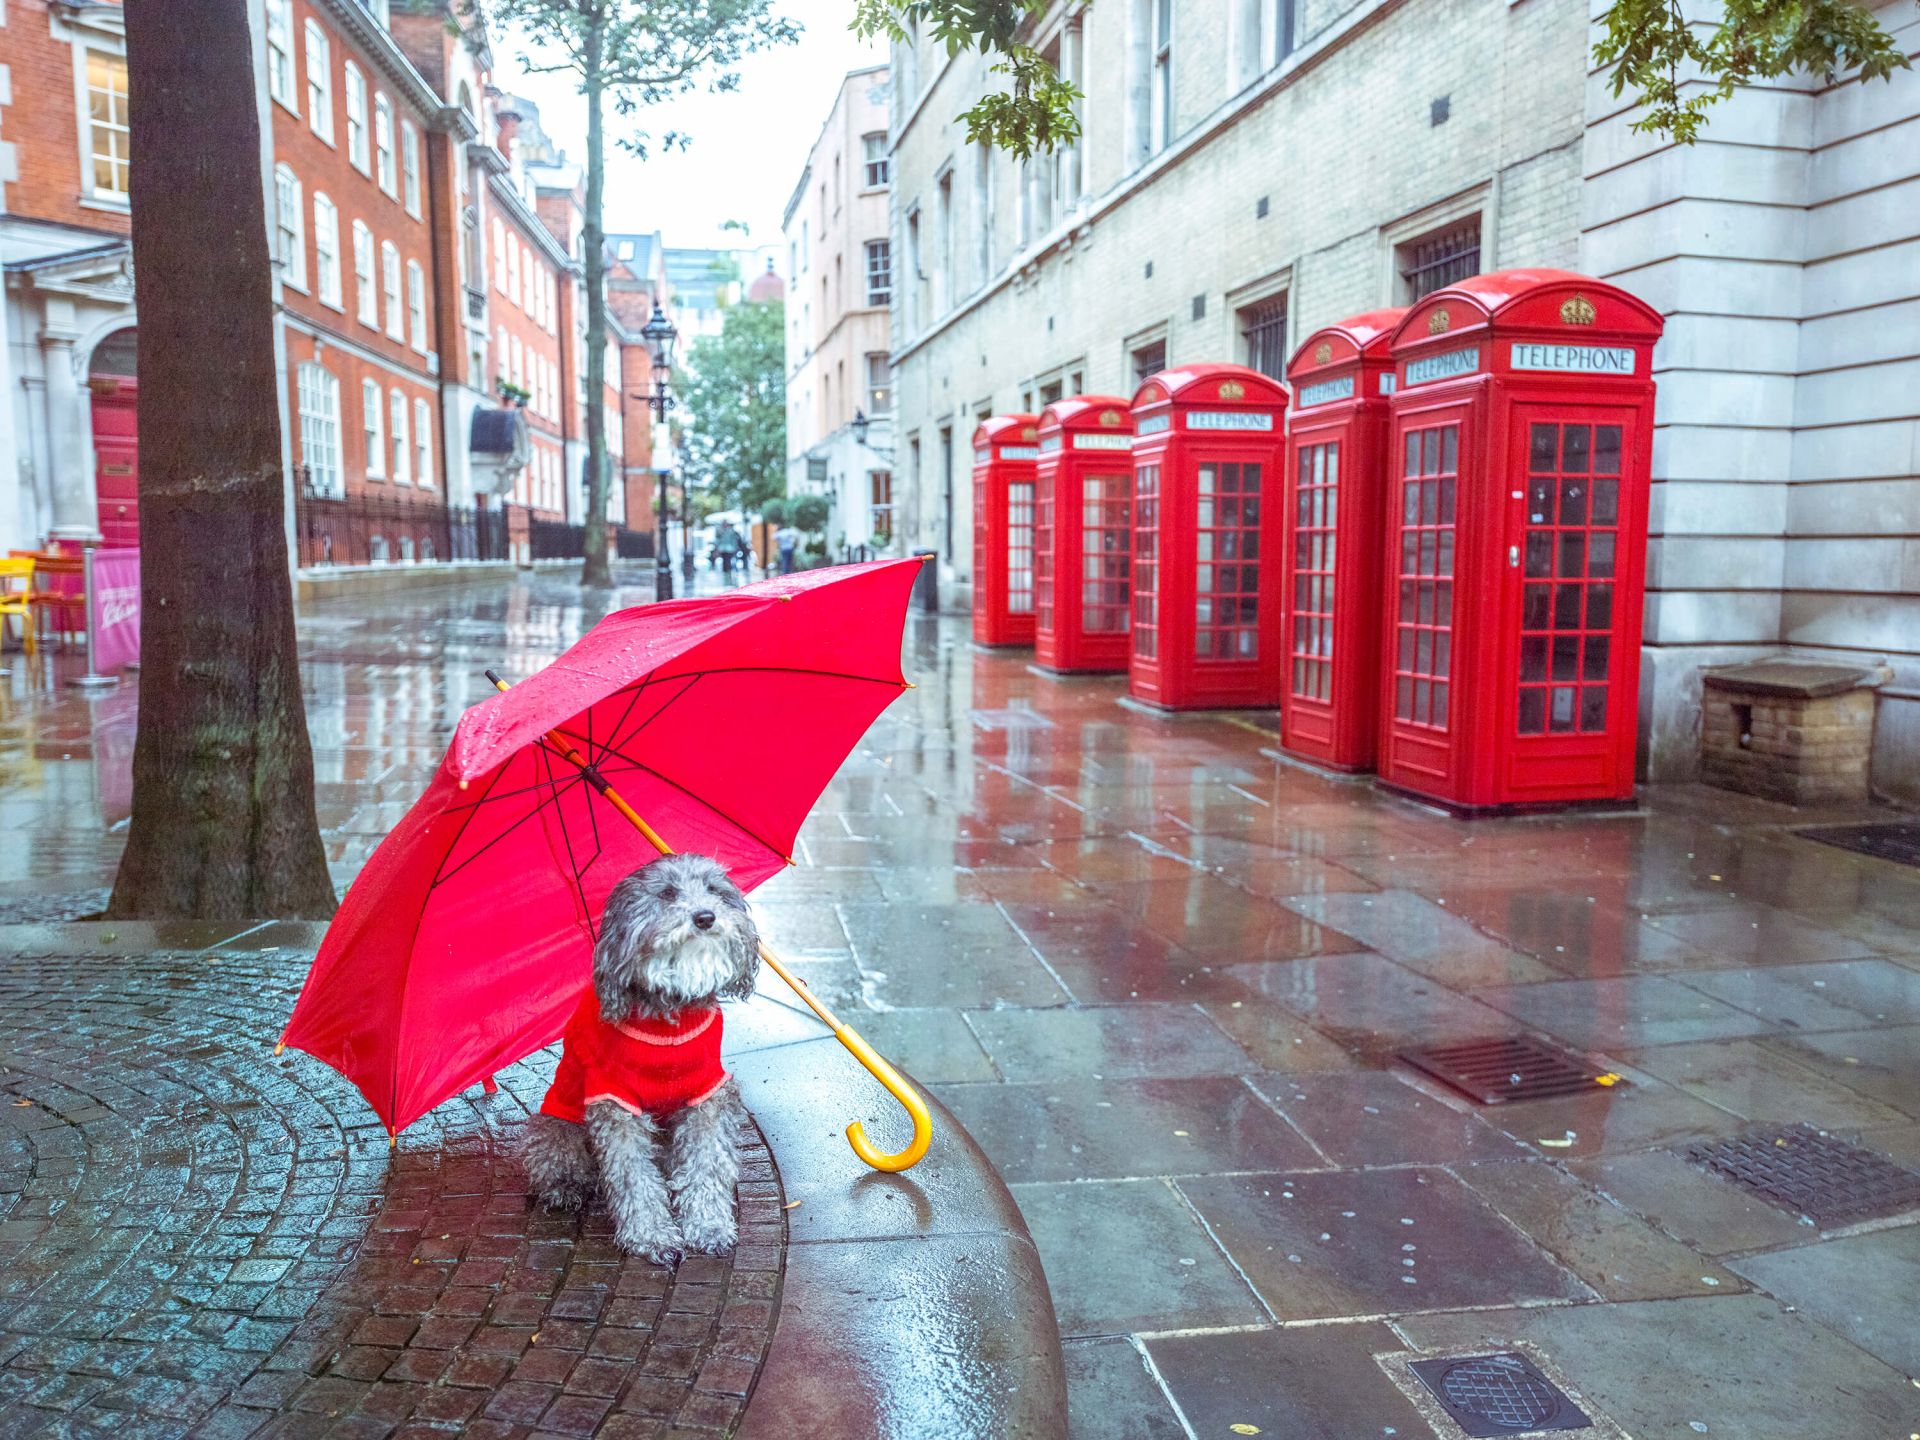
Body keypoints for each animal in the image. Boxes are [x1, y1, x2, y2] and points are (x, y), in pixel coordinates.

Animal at [529, 852, 768, 1267]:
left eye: (713, 889)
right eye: (667, 893)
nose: (705, 916)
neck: (670, 1018)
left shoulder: (706, 1096)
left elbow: (706, 1166)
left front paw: (709, 1227)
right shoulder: (615, 1103)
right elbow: (633, 1178)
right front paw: (652, 1236)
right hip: (557, 1127)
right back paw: (564, 1188)